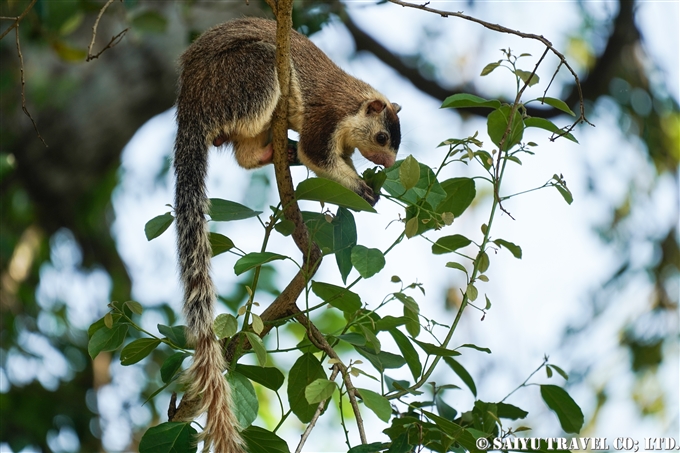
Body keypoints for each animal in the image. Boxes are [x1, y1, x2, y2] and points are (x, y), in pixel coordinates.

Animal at [173, 15, 402, 450]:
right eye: (383, 137)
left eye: (397, 143)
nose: (387, 163)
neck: (353, 109)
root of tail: (188, 105)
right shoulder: (326, 117)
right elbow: (318, 154)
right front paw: (364, 189)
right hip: (248, 75)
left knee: (244, 153)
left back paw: (274, 152)